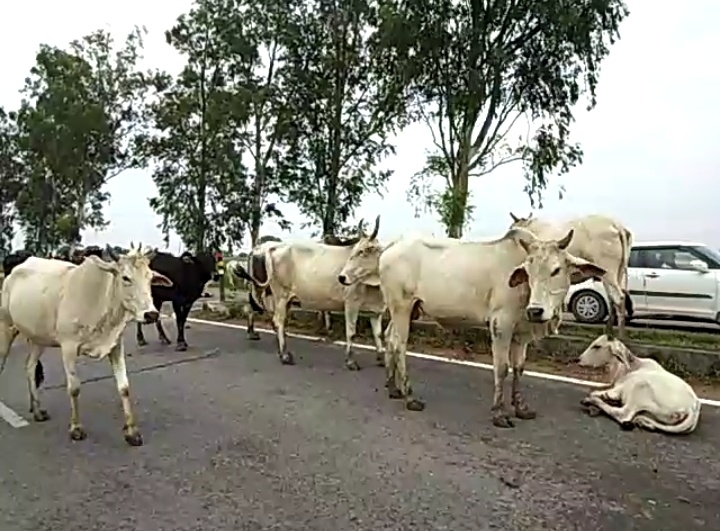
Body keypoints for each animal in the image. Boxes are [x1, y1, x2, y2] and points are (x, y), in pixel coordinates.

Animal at [0, 244, 172, 446]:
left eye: (150, 278)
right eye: (126, 278)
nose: (151, 314)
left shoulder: (116, 345)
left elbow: (124, 387)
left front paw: (132, 432)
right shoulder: (68, 347)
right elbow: (74, 388)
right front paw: (76, 428)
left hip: (38, 338)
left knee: (30, 367)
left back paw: (37, 411)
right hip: (6, 327)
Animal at [235, 217, 385, 370]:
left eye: (364, 251)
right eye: (356, 251)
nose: (342, 277)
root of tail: (272, 247)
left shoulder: (376, 310)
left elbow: (378, 334)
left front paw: (381, 358)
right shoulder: (351, 303)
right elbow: (351, 332)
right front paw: (350, 361)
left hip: (281, 296)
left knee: (271, 317)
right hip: (277, 294)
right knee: (275, 319)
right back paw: (284, 354)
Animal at [347, 228, 605, 427]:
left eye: (556, 270)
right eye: (528, 272)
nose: (536, 311)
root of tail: (390, 249)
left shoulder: (521, 333)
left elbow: (519, 368)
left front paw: (521, 408)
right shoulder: (501, 324)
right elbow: (502, 368)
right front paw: (499, 413)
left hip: (407, 310)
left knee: (390, 339)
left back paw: (393, 388)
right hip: (400, 307)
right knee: (399, 345)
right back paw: (409, 397)